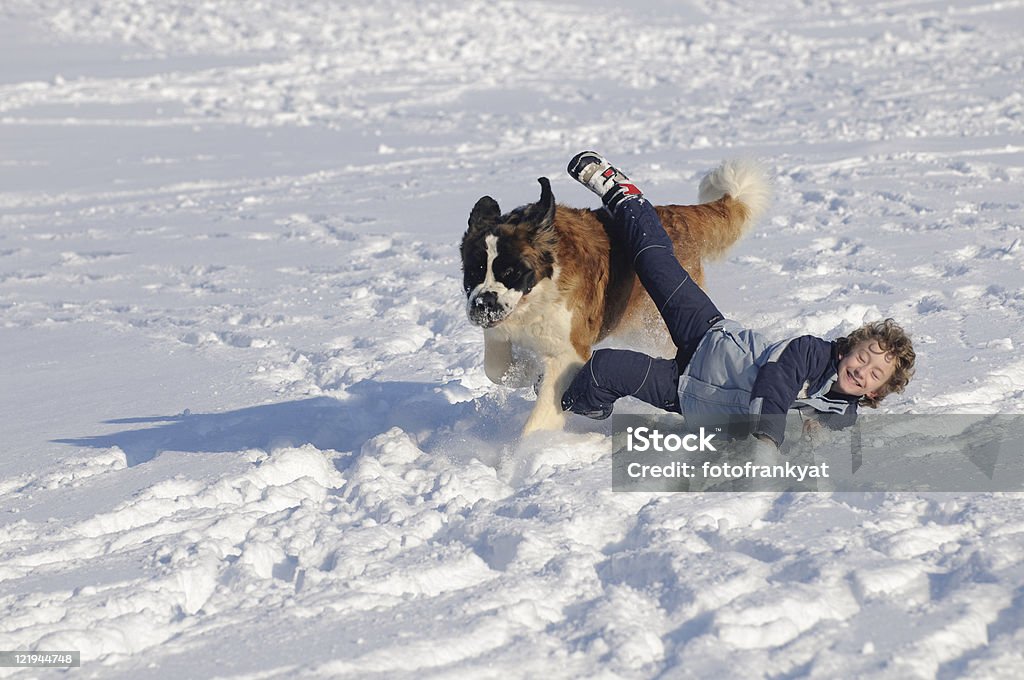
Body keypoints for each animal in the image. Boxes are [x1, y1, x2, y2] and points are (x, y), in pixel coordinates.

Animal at [462, 159, 770, 436]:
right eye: (475, 271)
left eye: (510, 272)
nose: (482, 304)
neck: (537, 294)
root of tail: (671, 214)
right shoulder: (500, 333)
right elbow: (495, 368)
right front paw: (527, 371)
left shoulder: (568, 352)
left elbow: (541, 415)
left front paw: (525, 454)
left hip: (655, 324)